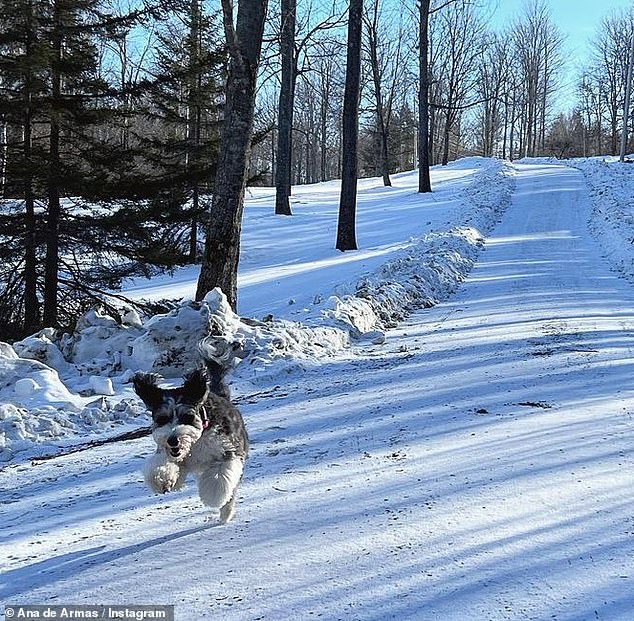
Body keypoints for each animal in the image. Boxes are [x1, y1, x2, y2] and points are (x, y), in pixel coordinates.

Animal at [133, 352, 247, 520]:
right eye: (162, 419)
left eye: (187, 417)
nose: (173, 440)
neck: (196, 443)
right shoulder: (170, 454)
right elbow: (163, 465)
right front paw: (162, 479)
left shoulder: (228, 450)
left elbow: (219, 477)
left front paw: (213, 495)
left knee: (230, 493)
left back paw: (226, 513)